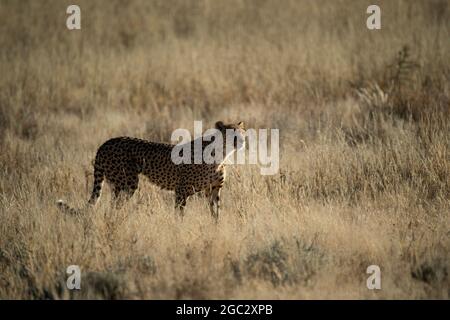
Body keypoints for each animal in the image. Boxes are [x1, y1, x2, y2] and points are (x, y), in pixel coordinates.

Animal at [57, 120, 246, 220]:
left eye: (242, 133)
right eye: (232, 134)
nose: (243, 141)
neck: (221, 154)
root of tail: (106, 143)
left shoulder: (213, 189)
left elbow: (215, 212)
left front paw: (216, 228)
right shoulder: (181, 191)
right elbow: (179, 215)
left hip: (117, 184)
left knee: (112, 206)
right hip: (127, 183)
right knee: (114, 208)